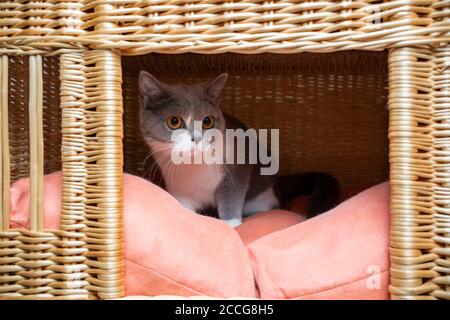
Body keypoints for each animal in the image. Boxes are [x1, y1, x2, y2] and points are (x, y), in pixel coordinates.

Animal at [139, 71, 340, 226]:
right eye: (174, 121)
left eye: (207, 121)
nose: (196, 138)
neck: (194, 166)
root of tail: (277, 183)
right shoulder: (180, 189)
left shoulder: (236, 168)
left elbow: (232, 196)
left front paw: (232, 224)